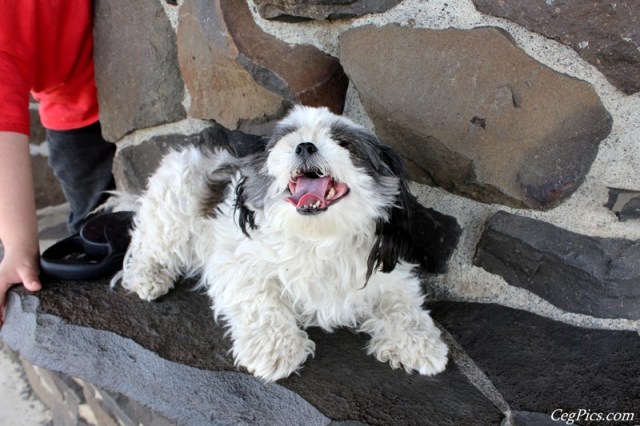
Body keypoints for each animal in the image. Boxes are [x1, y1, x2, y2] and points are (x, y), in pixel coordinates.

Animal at [116, 106, 448, 381]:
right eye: (288, 138)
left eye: (344, 143)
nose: (305, 145)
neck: (318, 237)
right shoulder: (236, 265)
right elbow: (261, 301)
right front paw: (275, 351)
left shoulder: (388, 274)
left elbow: (403, 305)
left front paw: (419, 343)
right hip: (172, 207)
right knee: (149, 246)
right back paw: (149, 276)